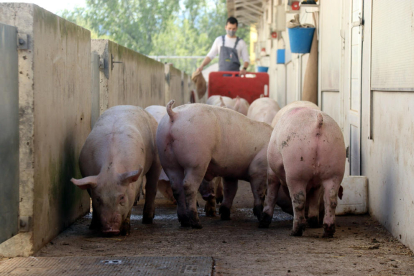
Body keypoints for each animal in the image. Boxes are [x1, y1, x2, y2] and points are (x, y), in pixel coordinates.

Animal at [71, 105, 162, 235]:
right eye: (98, 199)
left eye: (122, 197)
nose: (110, 229)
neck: (110, 169)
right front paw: (93, 227)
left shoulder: (134, 184)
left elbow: (130, 206)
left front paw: (126, 232)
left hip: (156, 157)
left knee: (151, 187)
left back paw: (147, 220)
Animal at [258, 104, 346, 238]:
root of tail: (318, 122)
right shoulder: (317, 183)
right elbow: (315, 197)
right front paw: (313, 222)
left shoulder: (271, 171)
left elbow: (271, 193)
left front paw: (263, 223)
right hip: (335, 166)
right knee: (331, 199)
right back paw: (327, 231)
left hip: (296, 167)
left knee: (299, 200)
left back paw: (295, 231)